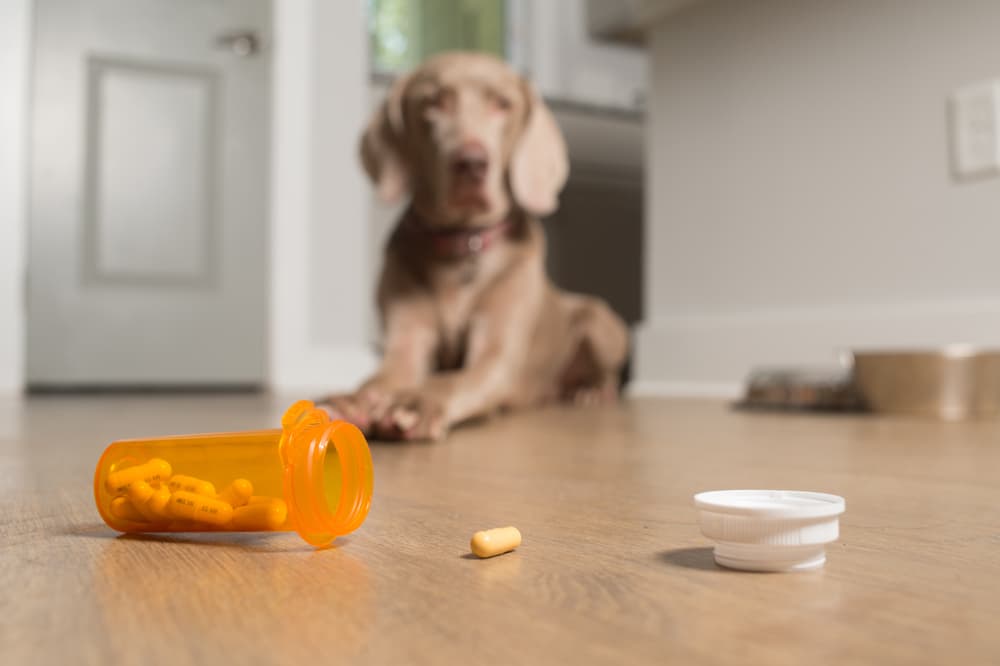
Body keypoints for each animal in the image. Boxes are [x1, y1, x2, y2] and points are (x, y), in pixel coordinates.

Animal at [320, 49, 628, 438]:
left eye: (503, 104)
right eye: (433, 102)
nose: (471, 163)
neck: (462, 244)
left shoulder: (496, 355)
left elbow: (452, 379)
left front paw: (413, 403)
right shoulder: (407, 343)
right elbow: (380, 378)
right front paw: (352, 401)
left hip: (598, 318)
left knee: (607, 374)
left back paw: (589, 392)